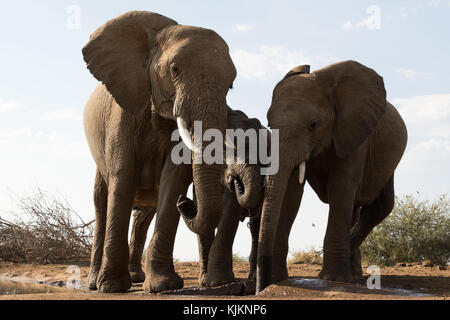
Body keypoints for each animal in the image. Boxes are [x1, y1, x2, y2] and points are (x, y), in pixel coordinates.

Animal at [84, 11, 237, 292]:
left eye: (231, 85)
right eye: (175, 70)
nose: (186, 202)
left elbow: (174, 179)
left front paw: (162, 285)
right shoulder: (122, 113)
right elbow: (122, 177)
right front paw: (112, 286)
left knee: (143, 215)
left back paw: (136, 278)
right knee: (101, 203)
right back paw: (94, 282)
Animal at [256, 61, 408, 294]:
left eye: (313, 124)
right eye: (269, 123)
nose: (261, 287)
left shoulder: (355, 131)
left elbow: (341, 187)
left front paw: (334, 278)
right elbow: (290, 193)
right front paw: (278, 278)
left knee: (379, 207)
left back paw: (349, 272)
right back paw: (353, 272)